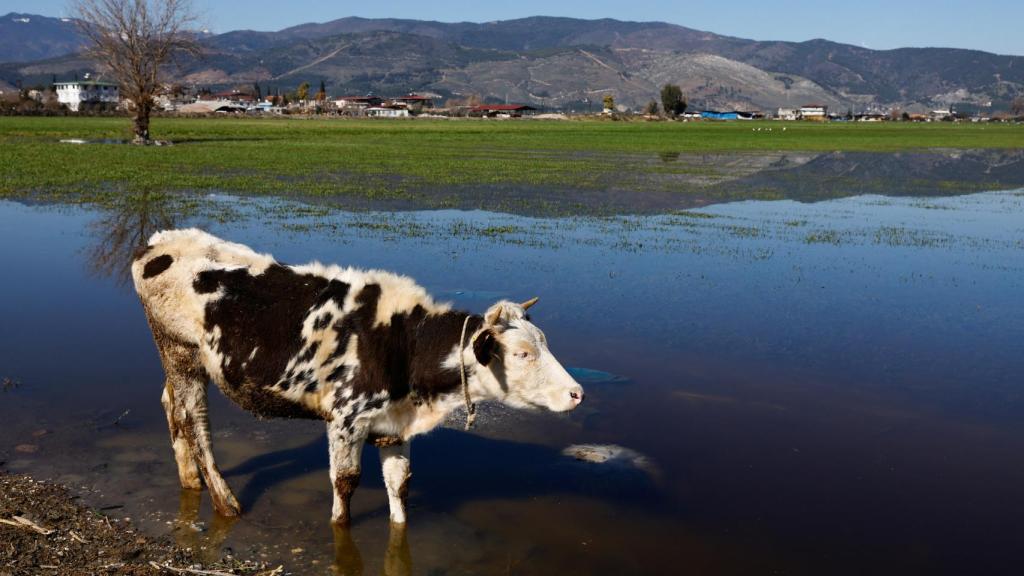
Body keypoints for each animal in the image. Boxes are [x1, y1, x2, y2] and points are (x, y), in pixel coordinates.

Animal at [130, 226, 585, 522]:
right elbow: (345, 483)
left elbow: (400, 485)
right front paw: (340, 529)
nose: (577, 392)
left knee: (170, 406)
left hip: (175, 359)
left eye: (543, 341)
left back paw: (191, 482)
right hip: (181, 353)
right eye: (522, 353)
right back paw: (225, 503)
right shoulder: (347, 419)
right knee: (193, 421)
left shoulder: (394, 425)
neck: (405, 341)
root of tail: (158, 241)